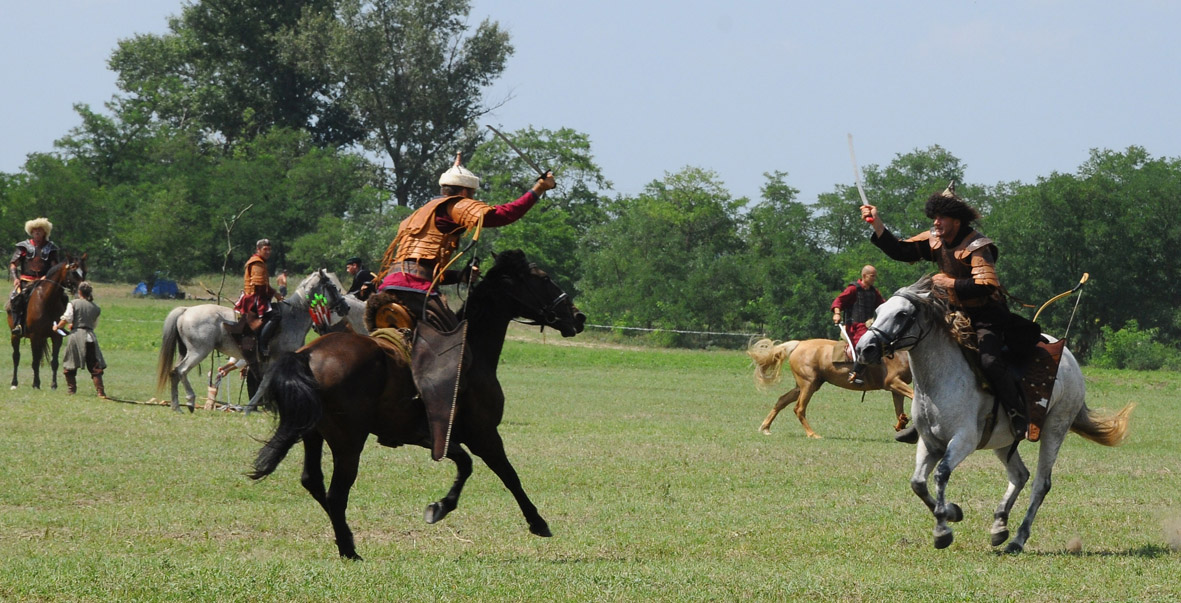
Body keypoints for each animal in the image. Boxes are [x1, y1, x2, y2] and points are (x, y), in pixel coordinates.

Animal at [6, 256, 86, 391]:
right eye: (73, 272)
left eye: (84, 272)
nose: (82, 289)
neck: (48, 301)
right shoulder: (35, 336)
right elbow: (35, 361)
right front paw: (36, 384)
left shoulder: (56, 336)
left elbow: (54, 362)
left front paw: (53, 385)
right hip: (15, 336)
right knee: (16, 357)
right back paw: (14, 383)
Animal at [154, 271, 363, 413]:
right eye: (333, 287)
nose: (346, 307)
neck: (293, 316)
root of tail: (186, 310)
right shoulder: (276, 359)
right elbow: (266, 384)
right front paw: (253, 407)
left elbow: (266, 383)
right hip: (198, 352)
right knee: (180, 371)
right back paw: (188, 402)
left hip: (188, 351)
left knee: (175, 372)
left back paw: (176, 406)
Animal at [245, 247, 585, 559]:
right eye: (543, 278)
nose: (578, 317)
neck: (473, 350)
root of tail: (308, 355)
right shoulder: (484, 435)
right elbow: (507, 474)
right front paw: (537, 522)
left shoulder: (435, 436)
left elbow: (466, 464)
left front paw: (440, 506)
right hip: (348, 442)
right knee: (336, 494)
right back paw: (349, 550)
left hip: (313, 434)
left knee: (313, 482)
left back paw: (348, 541)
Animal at [746, 335, 911, 438]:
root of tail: (799, 344)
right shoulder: (894, 383)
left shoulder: (896, 389)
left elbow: (900, 412)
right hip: (808, 385)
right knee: (799, 408)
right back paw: (812, 434)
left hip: (805, 386)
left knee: (782, 400)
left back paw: (765, 427)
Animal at [855, 276, 1138, 554]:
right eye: (878, 312)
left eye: (902, 314)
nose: (864, 349)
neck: (939, 381)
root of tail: (1069, 358)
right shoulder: (929, 442)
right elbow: (918, 483)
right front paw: (953, 512)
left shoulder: (963, 440)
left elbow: (941, 474)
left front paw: (943, 530)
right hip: (1003, 441)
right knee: (1020, 475)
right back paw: (1000, 526)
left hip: (1055, 428)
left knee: (1040, 483)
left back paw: (1017, 539)